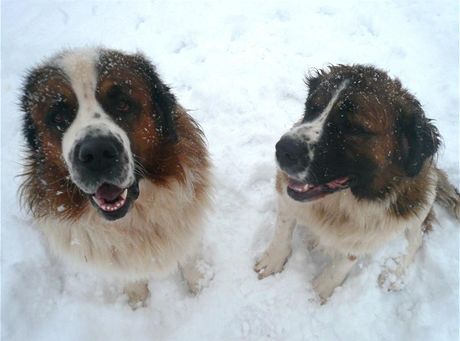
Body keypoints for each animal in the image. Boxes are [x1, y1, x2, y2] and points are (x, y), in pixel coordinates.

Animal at [18, 47, 212, 306]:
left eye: (122, 105)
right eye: (58, 117)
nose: (97, 153)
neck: (133, 219)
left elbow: (189, 254)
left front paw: (199, 283)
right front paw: (137, 299)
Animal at [255, 65, 460, 302]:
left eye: (353, 127)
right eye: (312, 108)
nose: (283, 150)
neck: (342, 204)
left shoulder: (370, 232)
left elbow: (345, 261)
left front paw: (318, 294)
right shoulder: (287, 197)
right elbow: (283, 229)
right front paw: (272, 261)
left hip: (419, 201)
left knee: (416, 239)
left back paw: (393, 273)